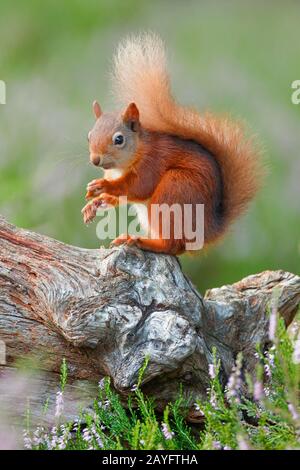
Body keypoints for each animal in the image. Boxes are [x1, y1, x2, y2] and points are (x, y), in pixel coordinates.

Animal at [82, 33, 262, 255]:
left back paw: (138, 240)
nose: (95, 160)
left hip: (175, 191)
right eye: (89, 136)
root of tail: (206, 230)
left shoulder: (153, 162)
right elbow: (121, 197)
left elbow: (138, 186)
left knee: (173, 246)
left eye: (119, 139)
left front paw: (103, 186)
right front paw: (95, 203)